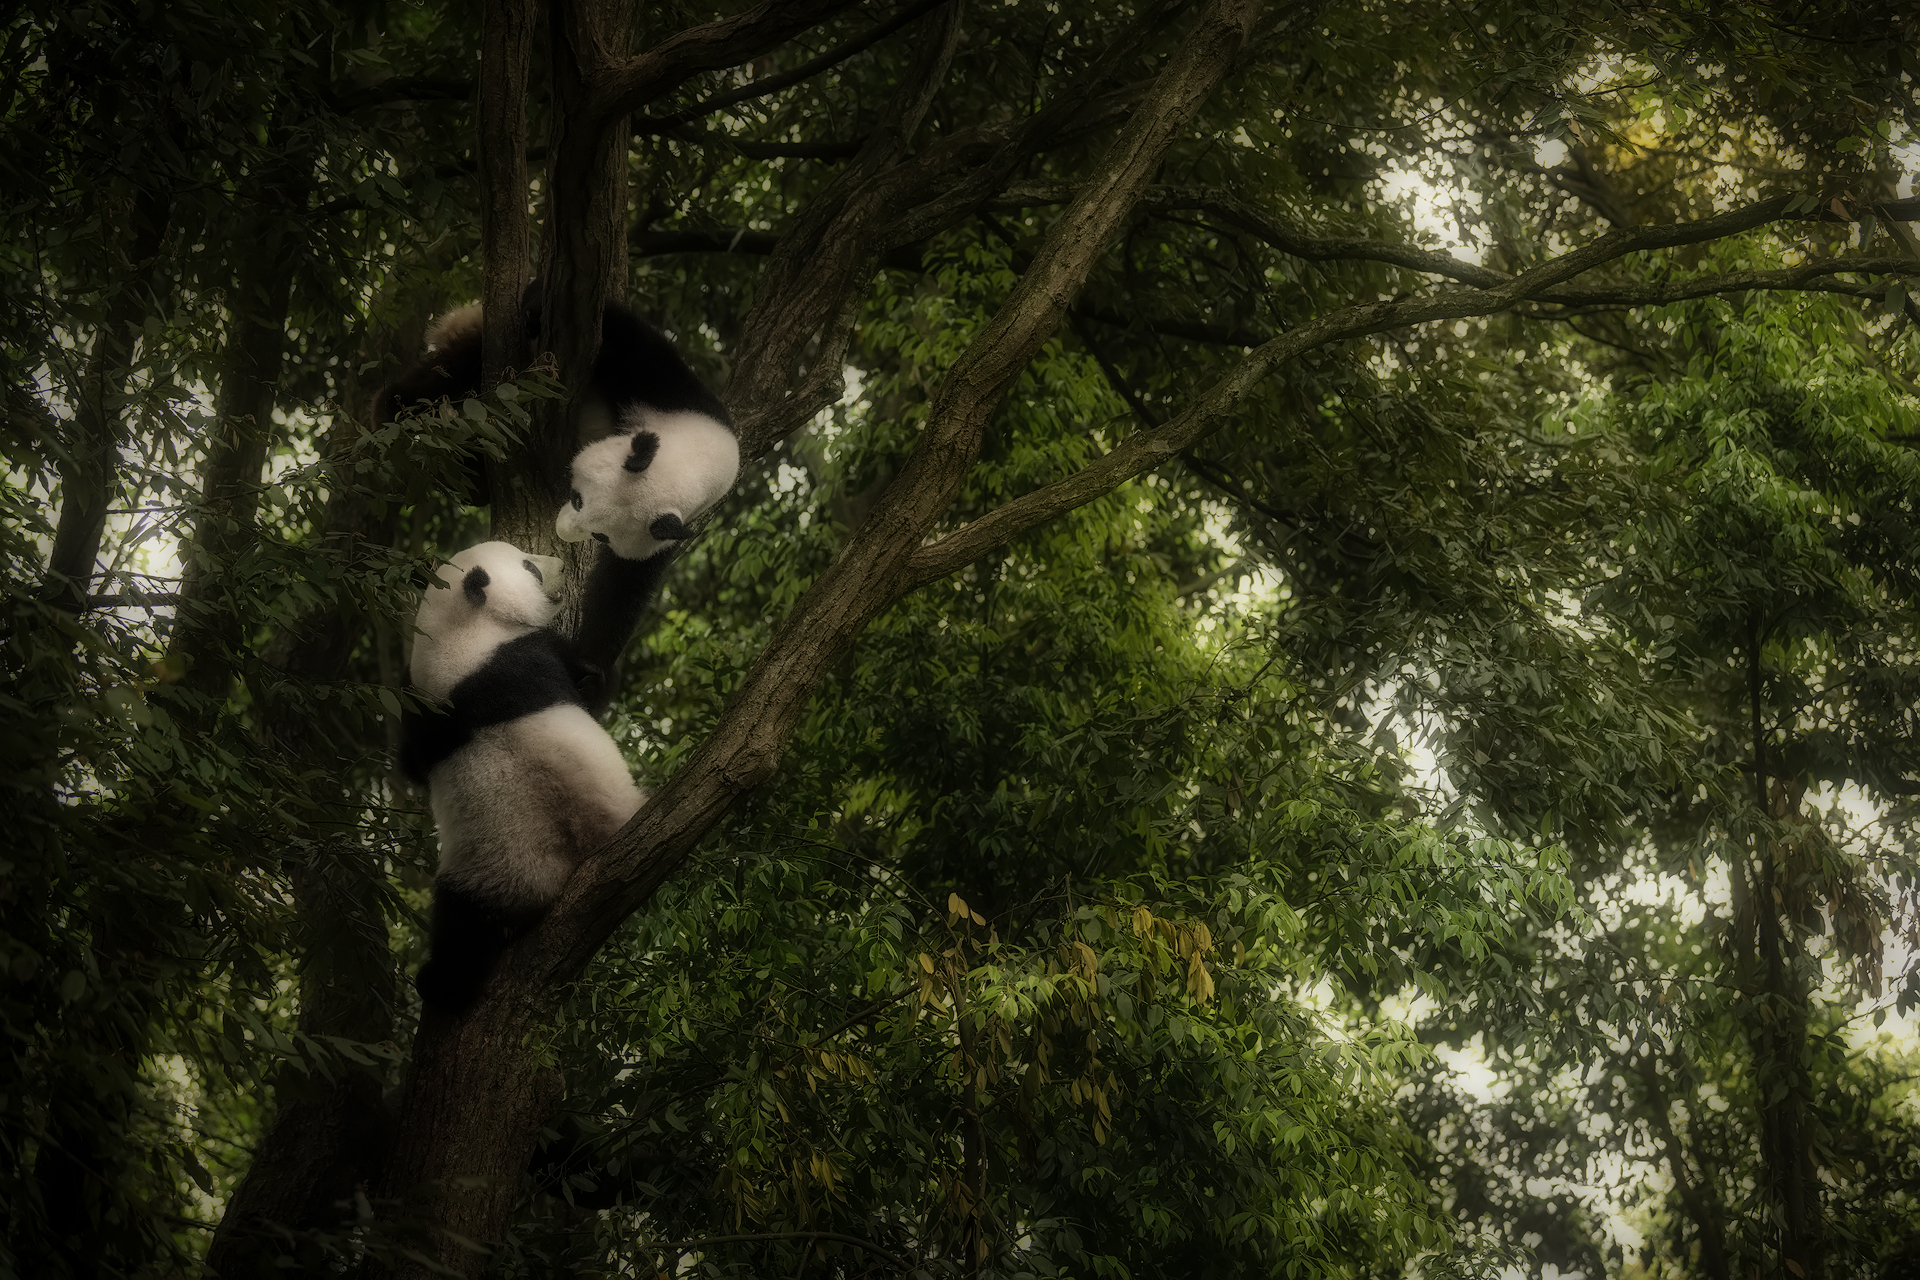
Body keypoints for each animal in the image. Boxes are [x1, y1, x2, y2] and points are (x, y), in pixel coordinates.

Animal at [399, 540, 645, 1014]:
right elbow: (588, 689)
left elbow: (412, 762)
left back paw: (442, 985)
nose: (563, 565)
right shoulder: (530, 653)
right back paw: (439, 984)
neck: (460, 634)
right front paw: (595, 676)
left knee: (463, 927)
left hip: (484, 873)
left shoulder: (429, 715)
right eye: (530, 566)